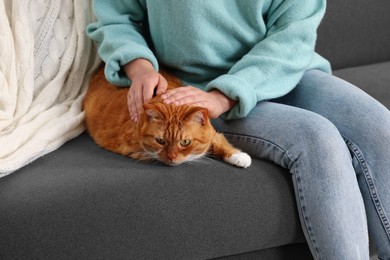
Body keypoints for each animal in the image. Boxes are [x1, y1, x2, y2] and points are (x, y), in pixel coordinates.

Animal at [83, 66, 251, 168]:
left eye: (185, 142)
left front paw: (237, 155)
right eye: (160, 141)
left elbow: (219, 140)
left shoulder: (211, 133)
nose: (172, 157)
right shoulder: (133, 149)